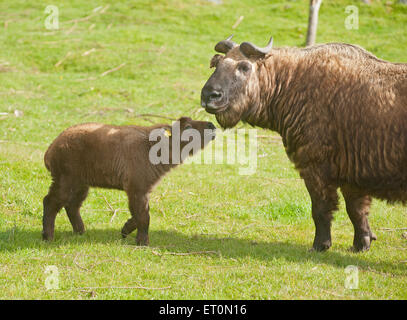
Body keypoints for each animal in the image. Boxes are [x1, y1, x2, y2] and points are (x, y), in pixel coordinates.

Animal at [42, 117, 217, 245]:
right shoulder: (136, 187)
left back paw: (80, 231)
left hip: (80, 183)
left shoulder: (141, 189)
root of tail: (51, 149)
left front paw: (125, 230)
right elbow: (144, 216)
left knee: (72, 206)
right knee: (50, 202)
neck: (152, 147)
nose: (212, 125)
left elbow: (139, 213)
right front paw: (143, 242)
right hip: (66, 179)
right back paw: (48, 237)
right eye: (187, 127)